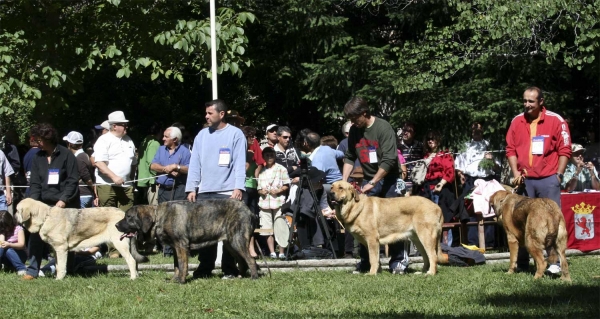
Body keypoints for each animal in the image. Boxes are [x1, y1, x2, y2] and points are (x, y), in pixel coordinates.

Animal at [115, 200, 258, 284]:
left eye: (128, 217)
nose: (116, 225)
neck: (158, 217)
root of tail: (249, 211)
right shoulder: (175, 247)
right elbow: (176, 266)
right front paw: (174, 279)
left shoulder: (181, 245)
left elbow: (183, 265)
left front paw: (181, 281)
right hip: (230, 244)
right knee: (242, 261)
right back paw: (240, 277)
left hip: (237, 241)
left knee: (251, 260)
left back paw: (254, 277)